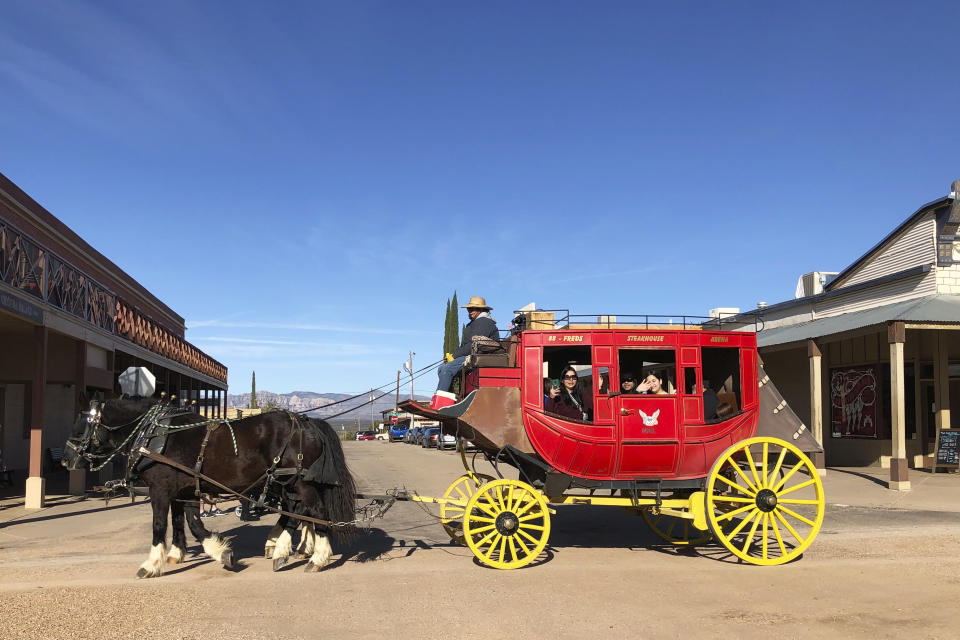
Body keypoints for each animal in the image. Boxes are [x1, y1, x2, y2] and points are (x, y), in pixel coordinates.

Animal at [63, 398, 356, 576]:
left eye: (83, 425)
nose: (66, 459)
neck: (155, 436)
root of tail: (307, 422)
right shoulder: (183, 491)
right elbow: (186, 523)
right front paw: (198, 552)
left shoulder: (160, 490)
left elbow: (160, 526)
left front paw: (151, 564)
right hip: (285, 482)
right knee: (296, 512)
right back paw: (283, 548)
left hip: (299, 482)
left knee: (315, 512)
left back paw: (316, 557)